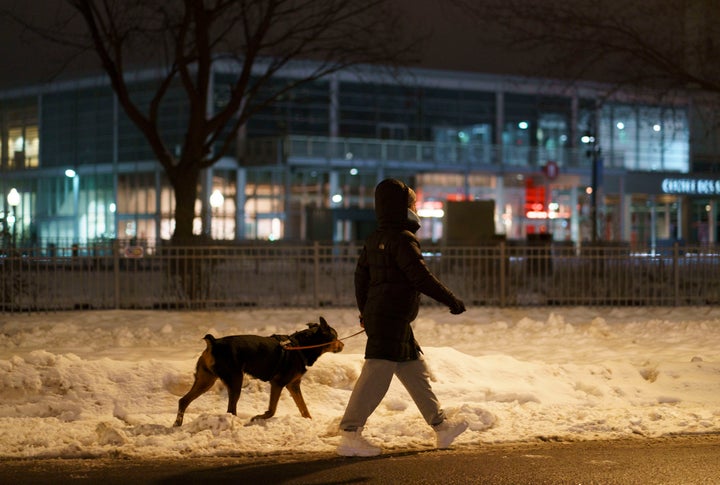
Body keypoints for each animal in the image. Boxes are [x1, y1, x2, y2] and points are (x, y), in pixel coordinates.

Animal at [174, 316, 344, 426]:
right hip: (235, 380)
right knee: (230, 409)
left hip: (206, 380)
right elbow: (272, 410)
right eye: (336, 336)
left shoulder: (293, 385)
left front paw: (309, 422)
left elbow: (304, 408)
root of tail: (214, 343)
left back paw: (178, 423)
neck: (301, 346)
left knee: (184, 400)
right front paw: (257, 417)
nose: (342, 345)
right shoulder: (278, 383)